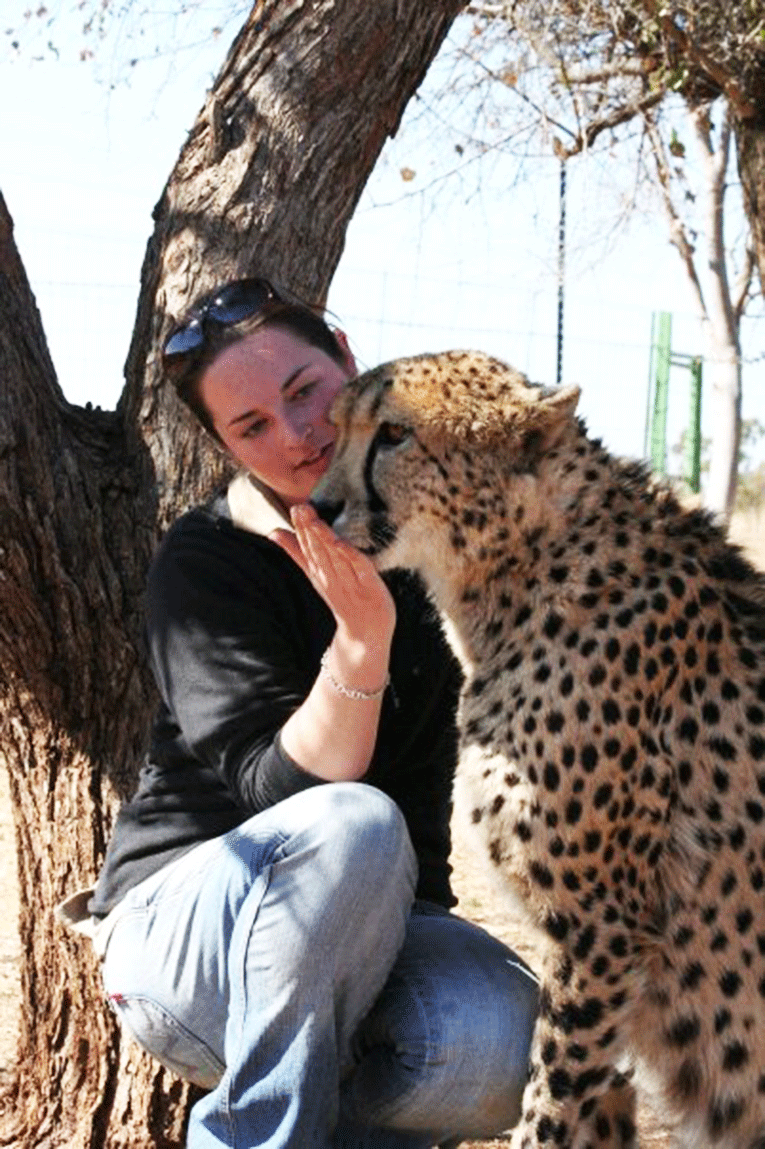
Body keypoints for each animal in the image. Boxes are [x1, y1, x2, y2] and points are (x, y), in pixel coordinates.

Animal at [311, 349, 765, 1149]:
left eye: (394, 433)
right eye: (337, 429)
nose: (317, 505)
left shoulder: (602, 930)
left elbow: (552, 1096)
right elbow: (592, 1099)